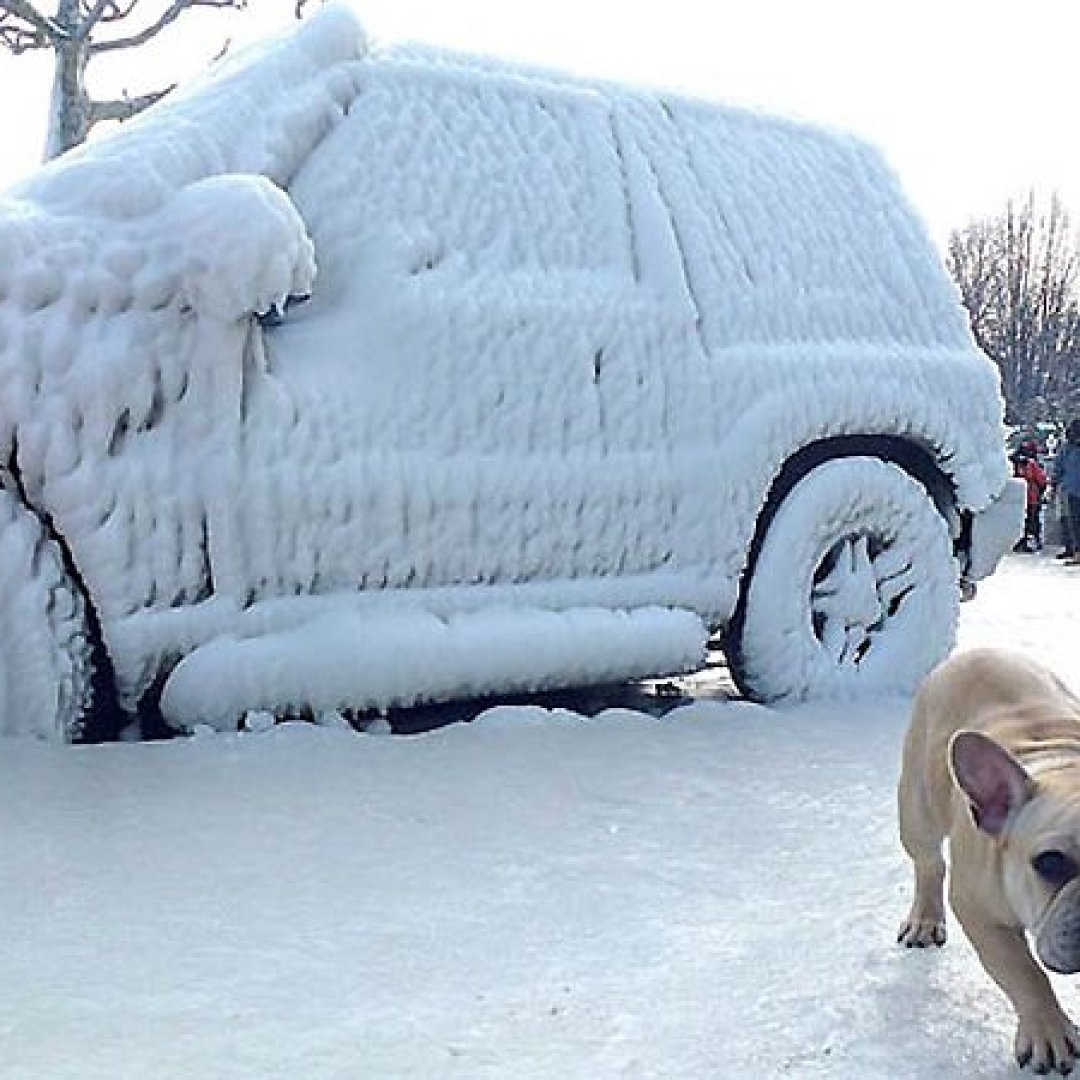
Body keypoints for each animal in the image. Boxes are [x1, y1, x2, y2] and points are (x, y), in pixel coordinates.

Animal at [898, 643, 1080, 1075]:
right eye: (1050, 863)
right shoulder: (980, 911)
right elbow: (1024, 972)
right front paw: (1048, 1030)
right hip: (917, 809)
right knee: (928, 862)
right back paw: (924, 919)